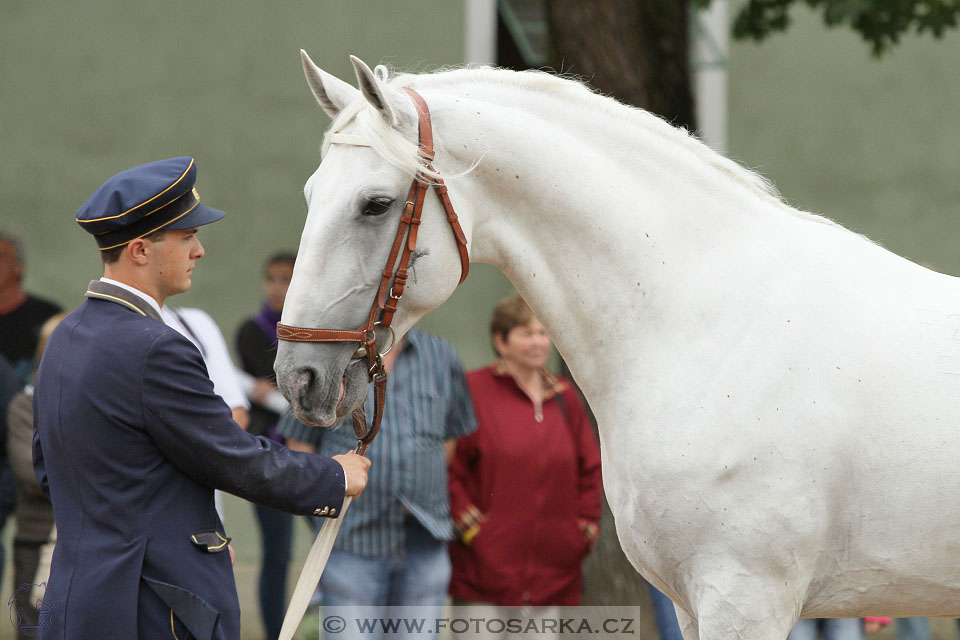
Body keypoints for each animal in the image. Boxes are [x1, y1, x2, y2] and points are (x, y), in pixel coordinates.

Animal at [276, 55, 960, 640]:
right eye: (308, 194)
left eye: (376, 204)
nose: (297, 376)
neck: (709, 324)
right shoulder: (691, 602)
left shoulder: (746, 596)